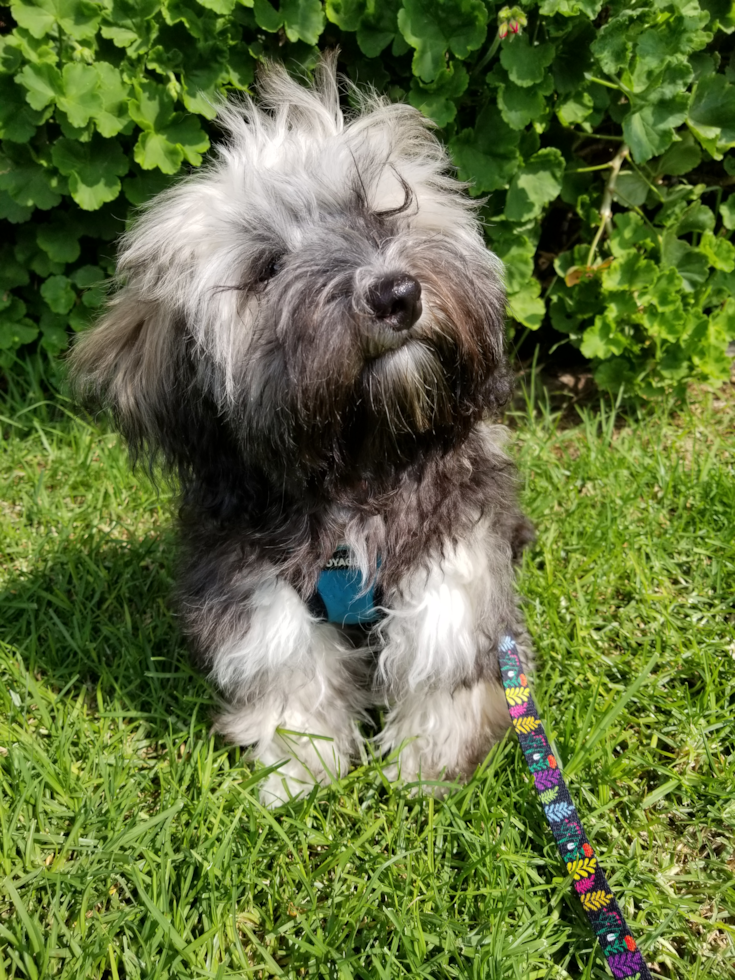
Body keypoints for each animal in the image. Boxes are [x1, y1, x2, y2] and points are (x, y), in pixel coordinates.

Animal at [72, 55, 536, 804]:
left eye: (381, 209)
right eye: (267, 268)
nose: (395, 294)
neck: (357, 465)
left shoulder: (453, 554)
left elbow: (439, 656)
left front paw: (428, 772)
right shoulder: (252, 581)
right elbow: (289, 668)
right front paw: (299, 770)